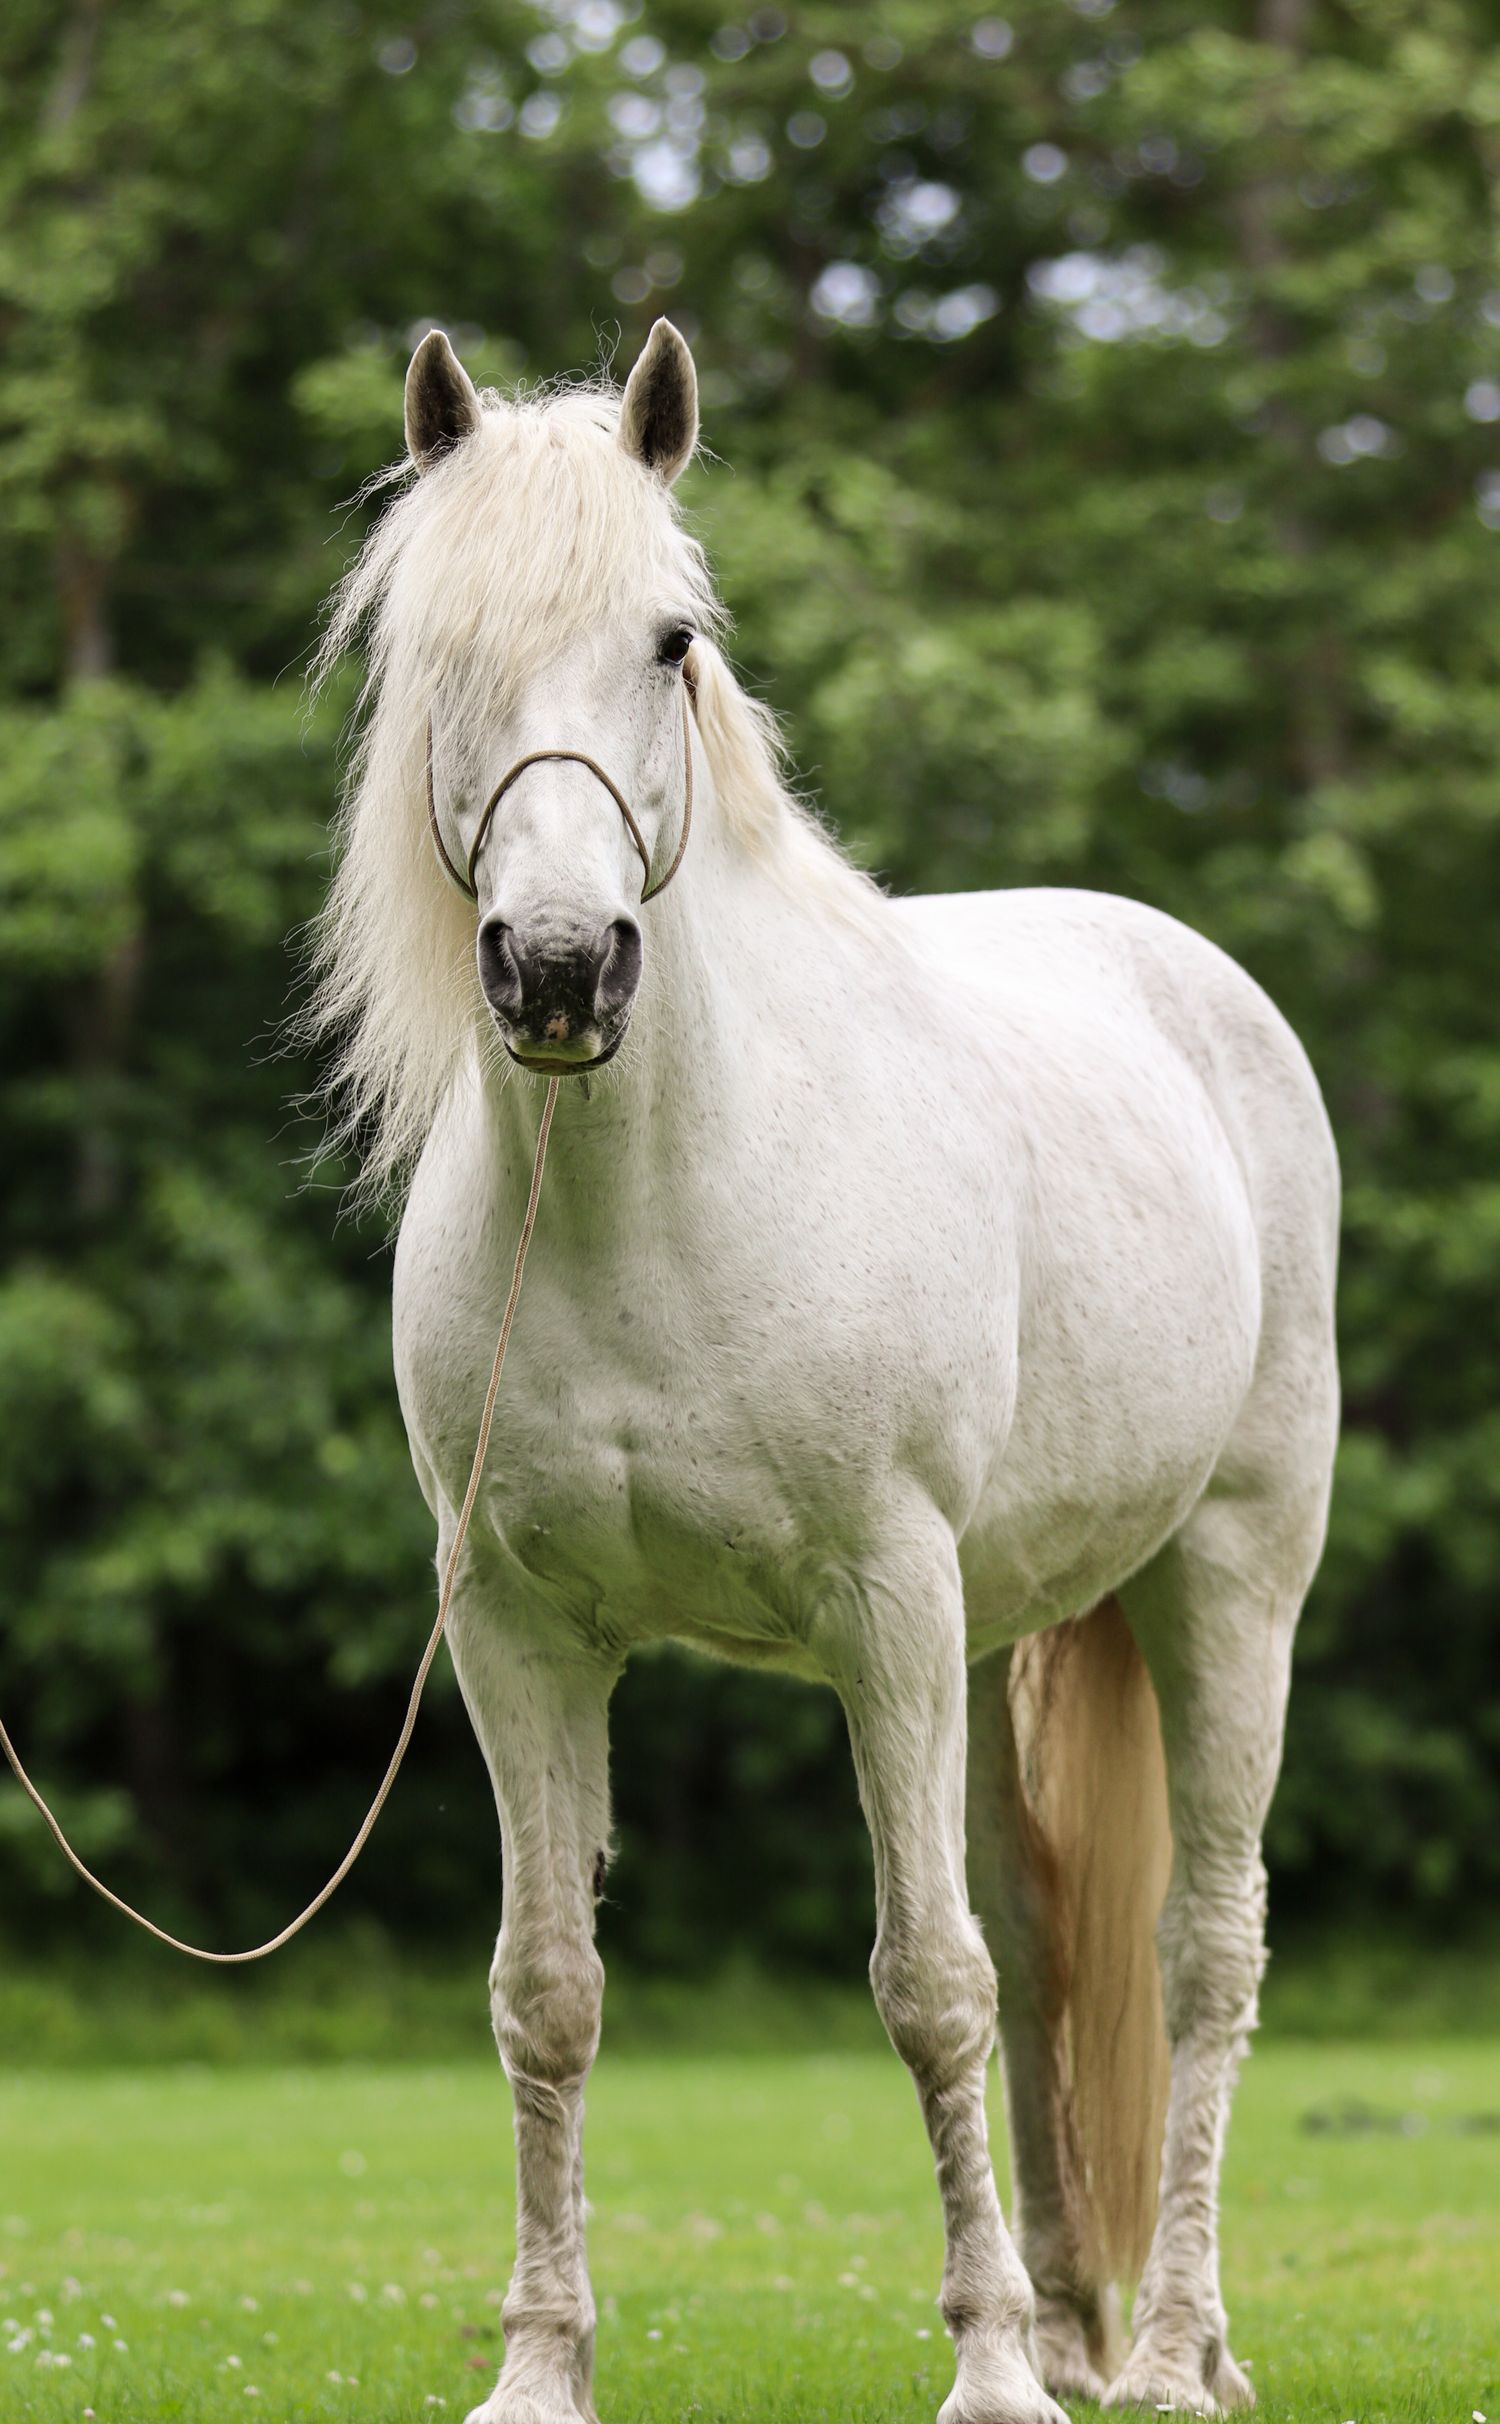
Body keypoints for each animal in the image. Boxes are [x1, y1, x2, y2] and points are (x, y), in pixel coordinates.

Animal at [308, 318, 1339, 2424]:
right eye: (438, 649)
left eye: (671, 641)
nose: (559, 968)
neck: (647, 1202)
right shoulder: (518, 1631)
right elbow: (548, 1991)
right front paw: (540, 2368)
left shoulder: (888, 1599)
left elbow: (925, 1982)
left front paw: (991, 2374)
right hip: (1014, 1624)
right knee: (1052, 1939)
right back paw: (1086, 2318)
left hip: (1227, 1579)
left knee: (1199, 1948)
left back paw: (1166, 2348)